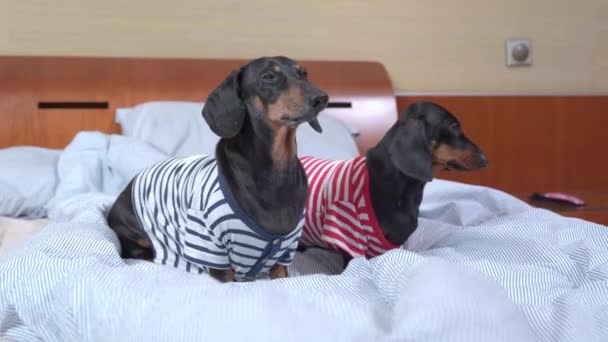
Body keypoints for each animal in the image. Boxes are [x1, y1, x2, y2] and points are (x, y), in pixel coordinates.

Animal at [107, 55, 330, 280]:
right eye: (268, 76)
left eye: (303, 73)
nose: (321, 98)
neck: (275, 172)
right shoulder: (211, 250)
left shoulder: (285, 252)